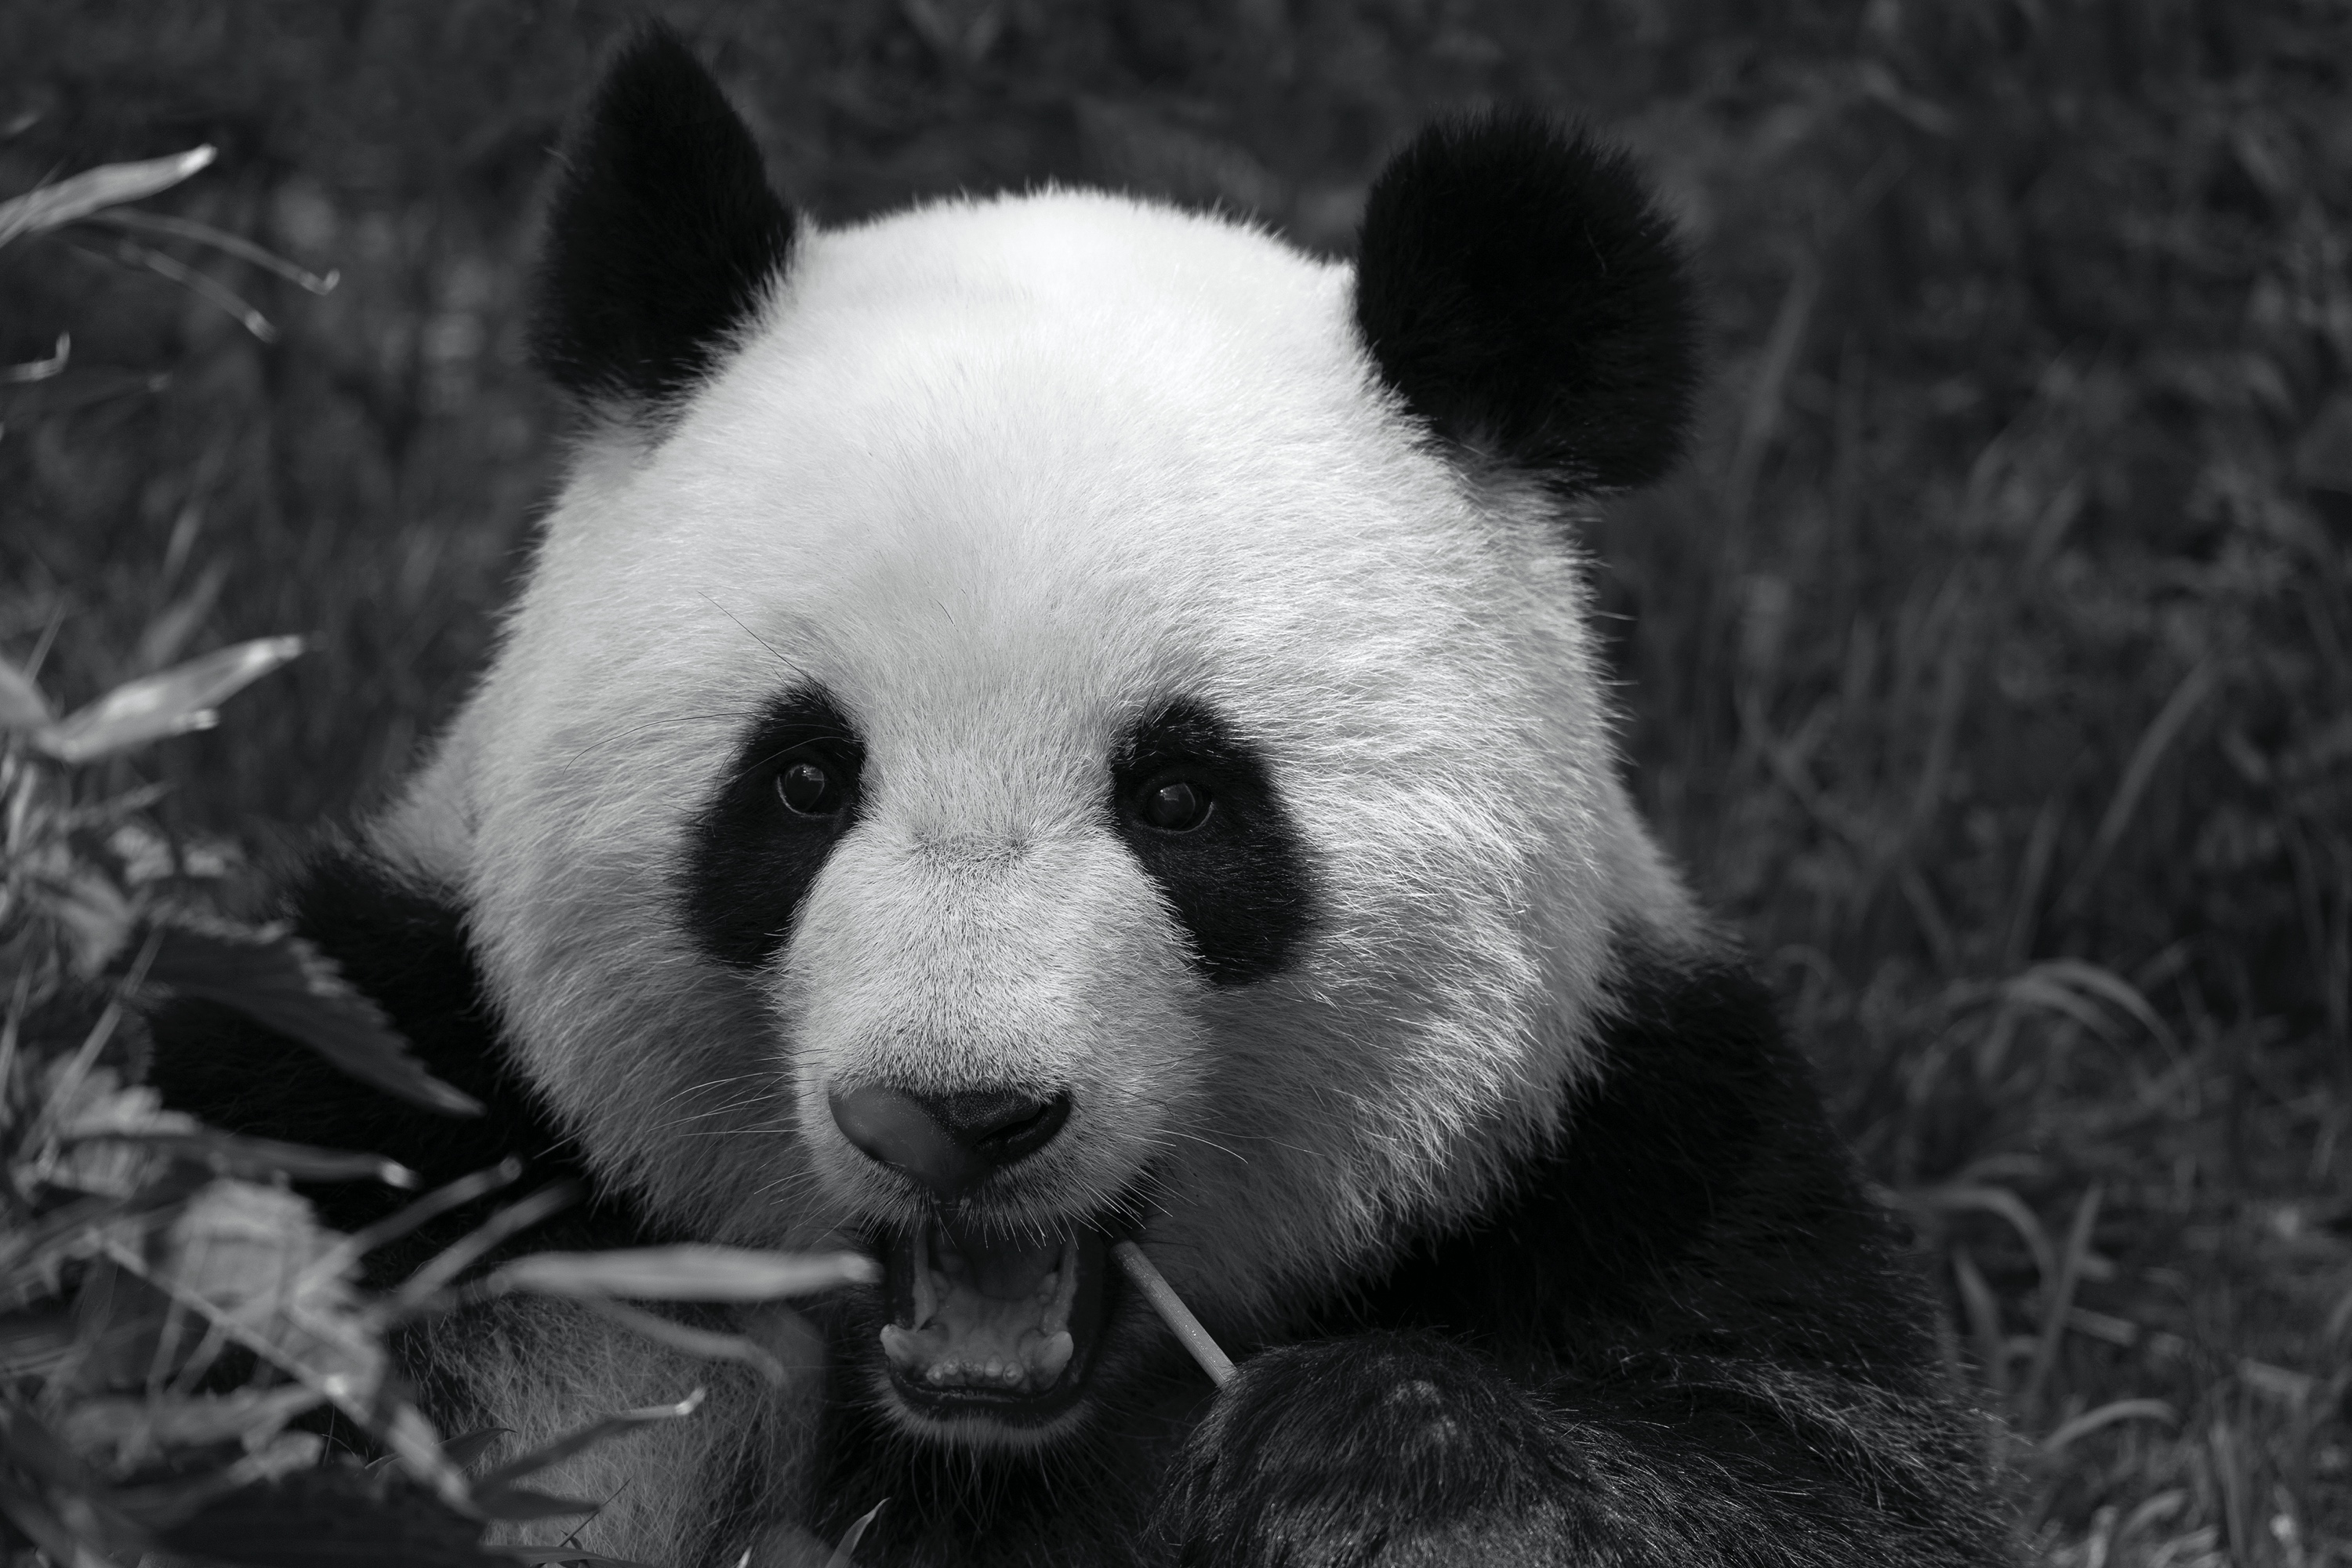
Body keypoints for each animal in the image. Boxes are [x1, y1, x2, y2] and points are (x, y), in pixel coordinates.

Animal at [152, 24, 2017, 1568]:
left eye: (1183, 799)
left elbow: (1808, 1486)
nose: (955, 1115)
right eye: (803, 780)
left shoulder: (1639, 1154)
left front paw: (1366, 1470)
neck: (973, 1437)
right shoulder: (403, 1115)